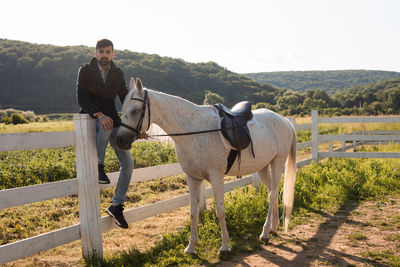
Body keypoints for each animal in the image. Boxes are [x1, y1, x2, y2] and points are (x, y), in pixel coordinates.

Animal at [115, 77, 296, 255]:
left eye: (135, 110)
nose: (120, 140)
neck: (194, 130)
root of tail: (284, 120)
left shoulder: (216, 177)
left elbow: (220, 211)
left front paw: (224, 246)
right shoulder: (193, 178)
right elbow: (193, 212)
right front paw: (191, 247)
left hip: (277, 163)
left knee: (272, 195)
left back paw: (265, 233)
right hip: (263, 167)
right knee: (272, 193)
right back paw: (273, 228)